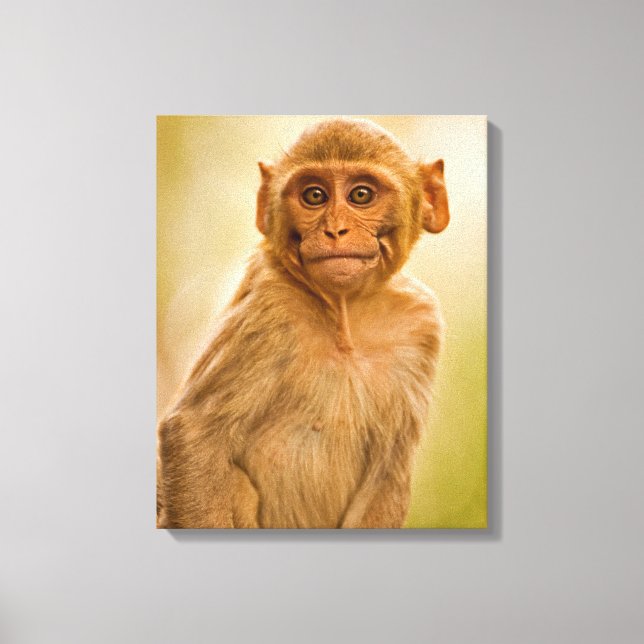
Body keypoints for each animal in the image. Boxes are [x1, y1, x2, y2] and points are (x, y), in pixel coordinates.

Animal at [157, 118, 450, 528]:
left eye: (361, 195)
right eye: (314, 196)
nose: (335, 230)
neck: (345, 316)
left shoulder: (421, 324)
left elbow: (387, 474)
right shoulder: (269, 307)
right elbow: (193, 435)